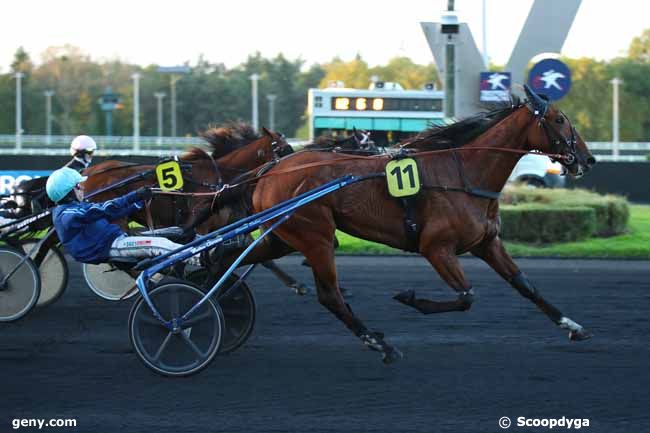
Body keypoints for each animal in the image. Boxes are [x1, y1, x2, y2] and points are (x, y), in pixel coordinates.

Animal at [246, 87, 596, 362]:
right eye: (560, 119)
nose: (588, 159)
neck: (464, 173)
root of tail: (271, 170)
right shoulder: (436, 247)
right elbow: (466, 297)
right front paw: (410, 297)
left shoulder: (487, 243)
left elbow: (525, 285)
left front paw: (573, 326)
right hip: (315, 236)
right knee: (330, 295)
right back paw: (382, 345)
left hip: (284, 236)